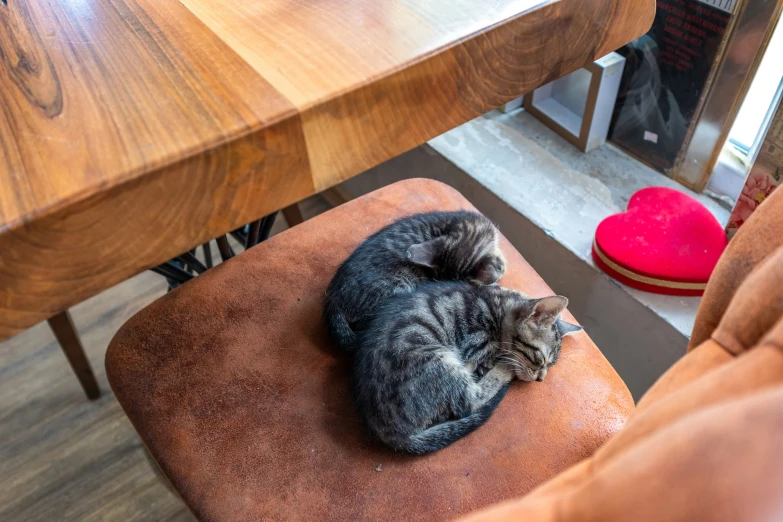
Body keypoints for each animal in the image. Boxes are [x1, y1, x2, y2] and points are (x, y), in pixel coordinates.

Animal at [354, 278, 580, 452]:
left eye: (551, 365)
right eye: (540, 359)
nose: (540, 379)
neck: (497, 306)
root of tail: (389, 432)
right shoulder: (475, 342)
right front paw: (504, 362)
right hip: (438, 360)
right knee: (471, 401)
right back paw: (504, 369)